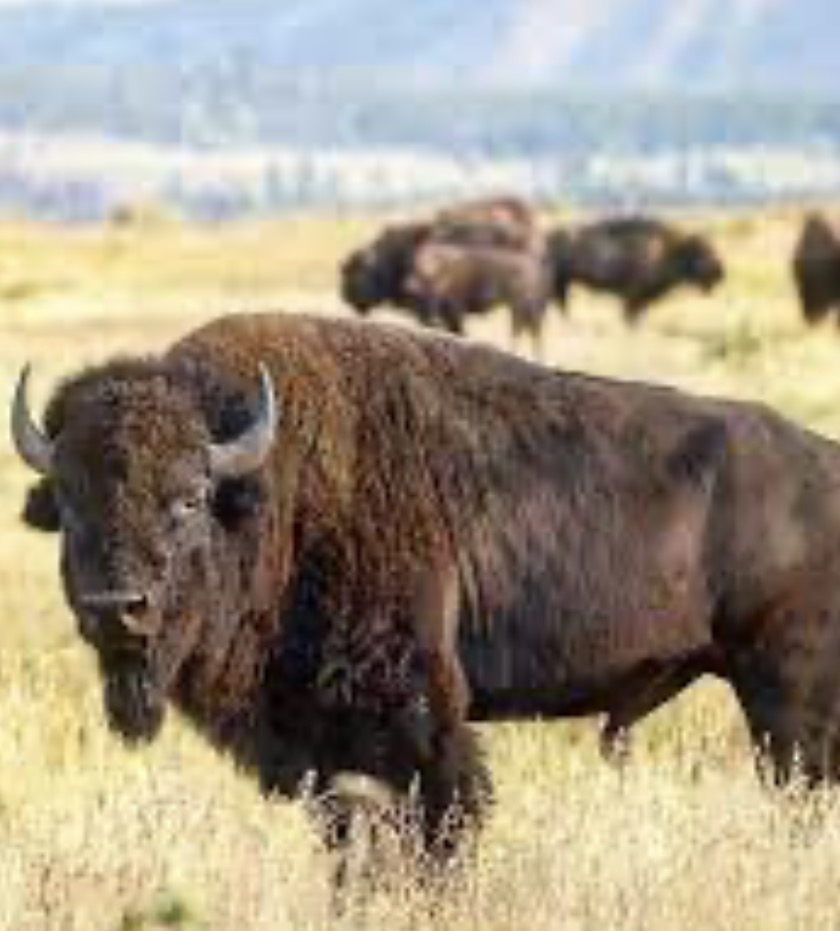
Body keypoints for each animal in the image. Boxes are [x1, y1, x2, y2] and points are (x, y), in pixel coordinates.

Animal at [13, 312, 840, 867]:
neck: (273, 495)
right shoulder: (324, 745)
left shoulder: (413, 719)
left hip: (785, 704)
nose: (116, 610)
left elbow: (440, 825)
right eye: (70, 503)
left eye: (187, 498)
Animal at [549, 216, 724, 323]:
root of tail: (553, 235)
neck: (669, 250)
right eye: (701, 253)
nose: (720, 272)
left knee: (561, 301)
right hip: (561, 281)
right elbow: (630, 315)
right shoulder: (633, 296)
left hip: (564, 281)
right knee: (560, 301)